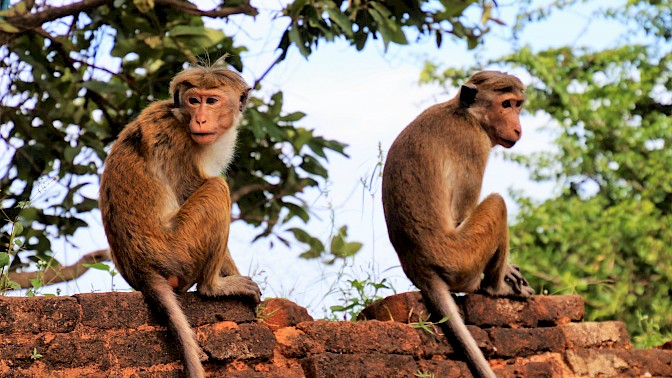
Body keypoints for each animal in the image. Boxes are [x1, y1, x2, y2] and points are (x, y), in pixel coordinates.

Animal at [100, 56, 260, 378]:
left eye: (211, 101)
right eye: (194, 100)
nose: (200, 120)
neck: (181, 118)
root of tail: (141, 270)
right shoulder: (180, 144)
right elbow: (192, 189)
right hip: (178, 251)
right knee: (217, 188)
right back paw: (214, 287)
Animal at [384, 71, 536, 378]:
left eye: (518, 105)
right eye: (505, 104)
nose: (517, 129)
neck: (466, 115)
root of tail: (418, 266)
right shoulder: (473, 145)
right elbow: (461, 214)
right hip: (463, 259)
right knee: (497, 204)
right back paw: (495, 288)